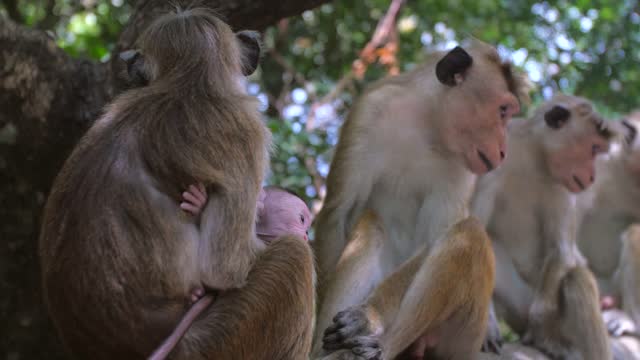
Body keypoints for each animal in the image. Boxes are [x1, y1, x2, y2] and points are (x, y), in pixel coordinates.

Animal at [38, 7, 316, 358]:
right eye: (303, 220)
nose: (305, 230)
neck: (186, 81)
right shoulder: (247, 131)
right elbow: (225, 268)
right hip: (217, 343)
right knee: (294, 256)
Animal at [312, 40, 528, 360]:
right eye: (503, 111)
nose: (503, 150)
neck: (427, 126)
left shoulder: (462, 167)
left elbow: (437, 235)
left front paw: (369, 316)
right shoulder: (370, 110)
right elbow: (339, 213)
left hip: (460, 341)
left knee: (469, 234)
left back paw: (379, 341)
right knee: (370, 222)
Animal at [470, 93, 616, 360]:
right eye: (593, 149)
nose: (592, 177)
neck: (534, 157)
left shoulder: (563, 187)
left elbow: (561, 250)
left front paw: (538, 326)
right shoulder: (495, 159)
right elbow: (476, 231)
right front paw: (487, 327)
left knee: (575, 278)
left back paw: (552, 341)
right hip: (518, 305)